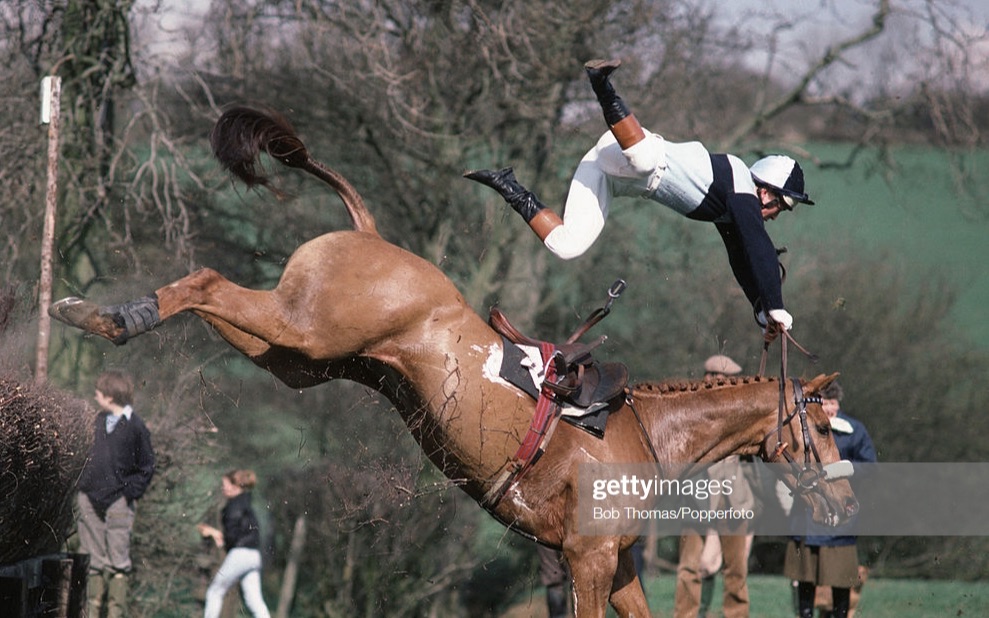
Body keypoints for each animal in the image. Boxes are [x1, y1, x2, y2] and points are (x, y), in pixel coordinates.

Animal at [52, 107, 856, 616]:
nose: (848, 506)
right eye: (819, 431)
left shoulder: (619, 565)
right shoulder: (589, 561)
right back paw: (104, 317)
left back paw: (101, 314)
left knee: (220, 307)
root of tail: (369, 232)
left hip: (297, 356)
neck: (650, 436)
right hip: (306, 331)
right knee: (205, 282)